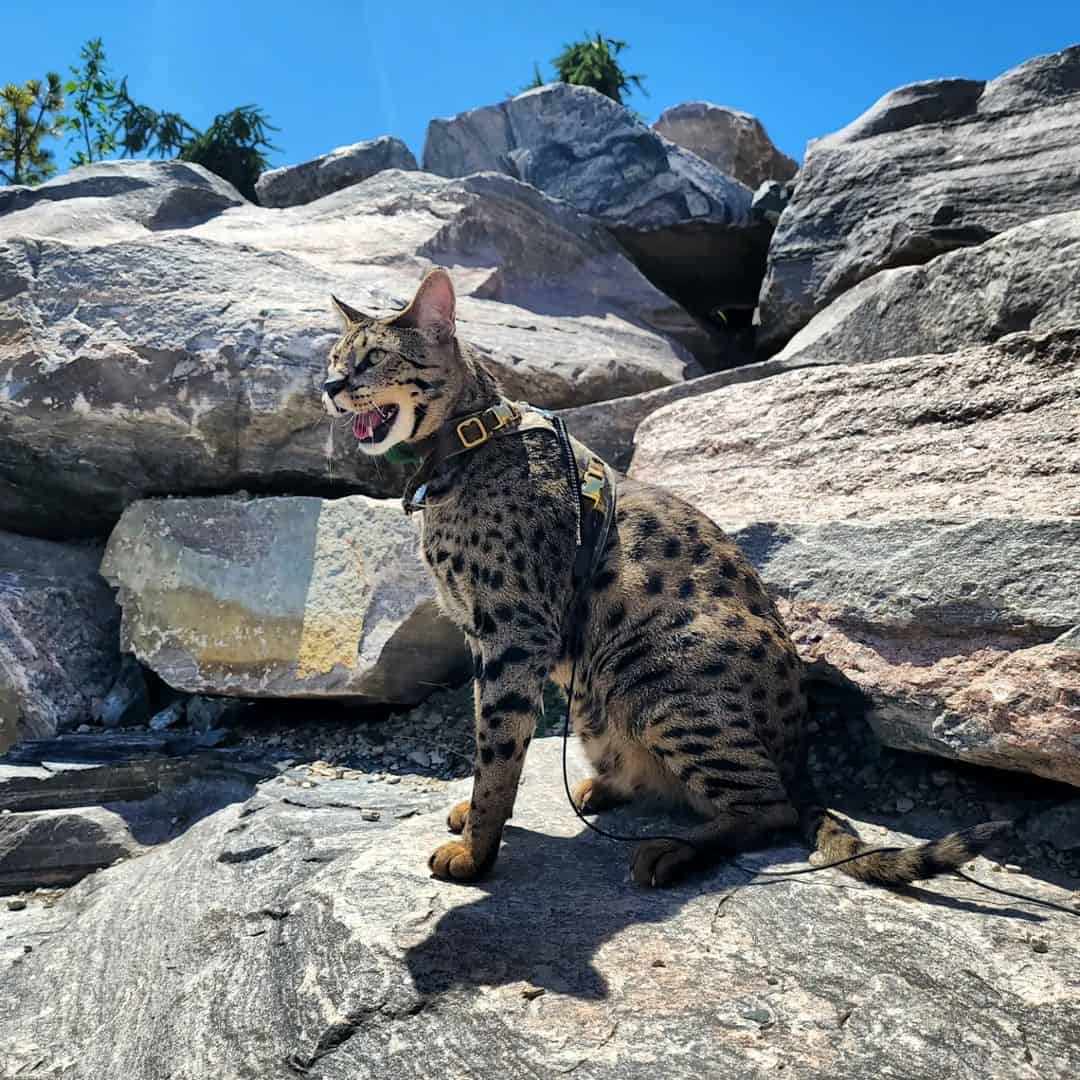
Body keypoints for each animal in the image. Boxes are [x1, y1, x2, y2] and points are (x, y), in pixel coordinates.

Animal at [319, 267, 1002, 885]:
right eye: (333, 357)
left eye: (373, 357)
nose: (328, 385)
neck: (465, 446)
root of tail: (801, 761)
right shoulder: (481, 632)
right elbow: (492, 743)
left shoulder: (515, 632)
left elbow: (498, 747)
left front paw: (477, 851)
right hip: (596, 698)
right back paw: (606, 788)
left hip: (655, 676)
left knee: (771, 808)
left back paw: (675, 851)